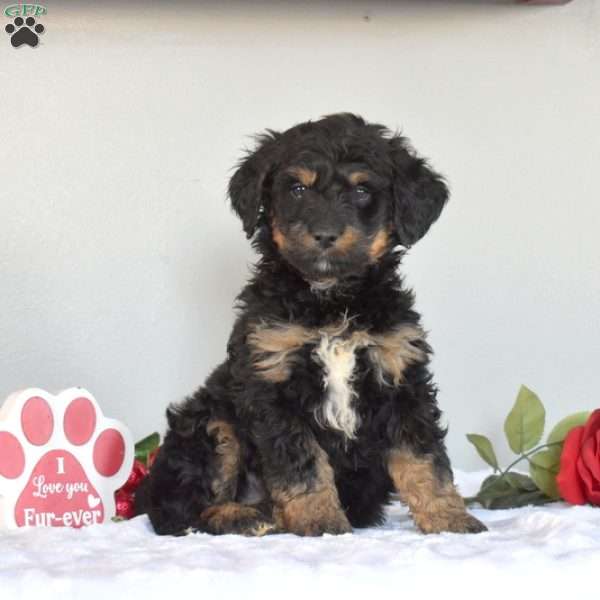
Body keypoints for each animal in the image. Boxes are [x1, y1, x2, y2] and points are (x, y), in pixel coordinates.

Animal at [136, 115, 488, 536]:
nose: (324, 235)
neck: (332, 302)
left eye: (362, 190)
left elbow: (424, 459)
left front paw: (449, 519)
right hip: (211, 426)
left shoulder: (400, 375)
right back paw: (246, 515)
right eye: (298, 189)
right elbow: (301, 463)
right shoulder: (272, 381)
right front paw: (320, 520)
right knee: (179, 510)